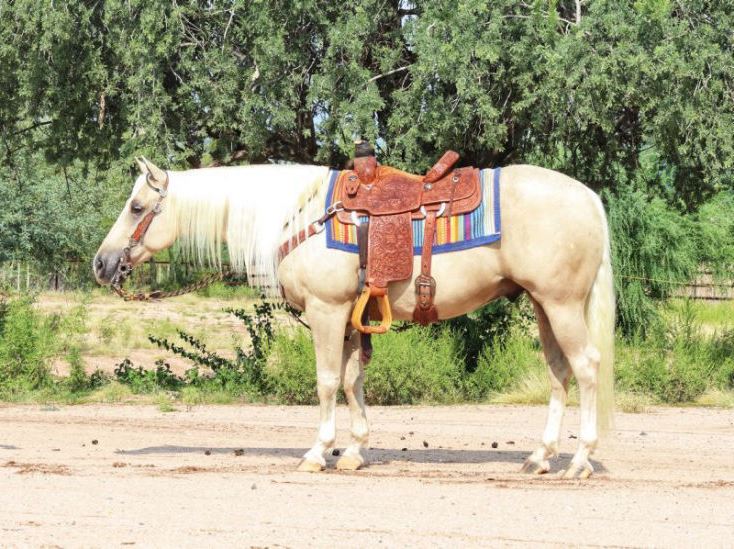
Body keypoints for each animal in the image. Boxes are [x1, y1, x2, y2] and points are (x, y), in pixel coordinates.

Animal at [93, 157, 614, 479]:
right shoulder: (347, 317)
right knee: (559, 373)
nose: (102, 264)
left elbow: (326, 382)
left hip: (562, 304)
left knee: (587, 368)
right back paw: (539, 458)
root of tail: (588, 198)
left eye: (137, 207)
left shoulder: (326, 311)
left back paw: (579, 461)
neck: (297, 215)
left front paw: (317, 453)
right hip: (544, 305)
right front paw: (355, 452)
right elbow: (351, 382)